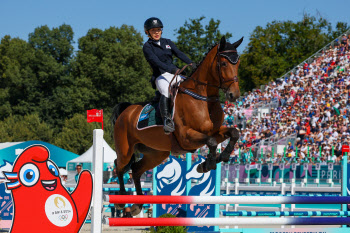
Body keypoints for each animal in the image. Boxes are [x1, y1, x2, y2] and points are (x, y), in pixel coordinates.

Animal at [110, 35, 242, 216]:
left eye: (238, 62)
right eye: (223, 64)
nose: (234, 95)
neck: (202, 99)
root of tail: (126, 111)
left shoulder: (214, 131)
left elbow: (233, 133)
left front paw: (220, 157)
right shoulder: (186, 137)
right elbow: (211, 142)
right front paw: (207, 165)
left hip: (157, 154)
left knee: (136, 169)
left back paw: (137, 205)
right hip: (125, 149)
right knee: (119, 165)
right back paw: (122, 200)